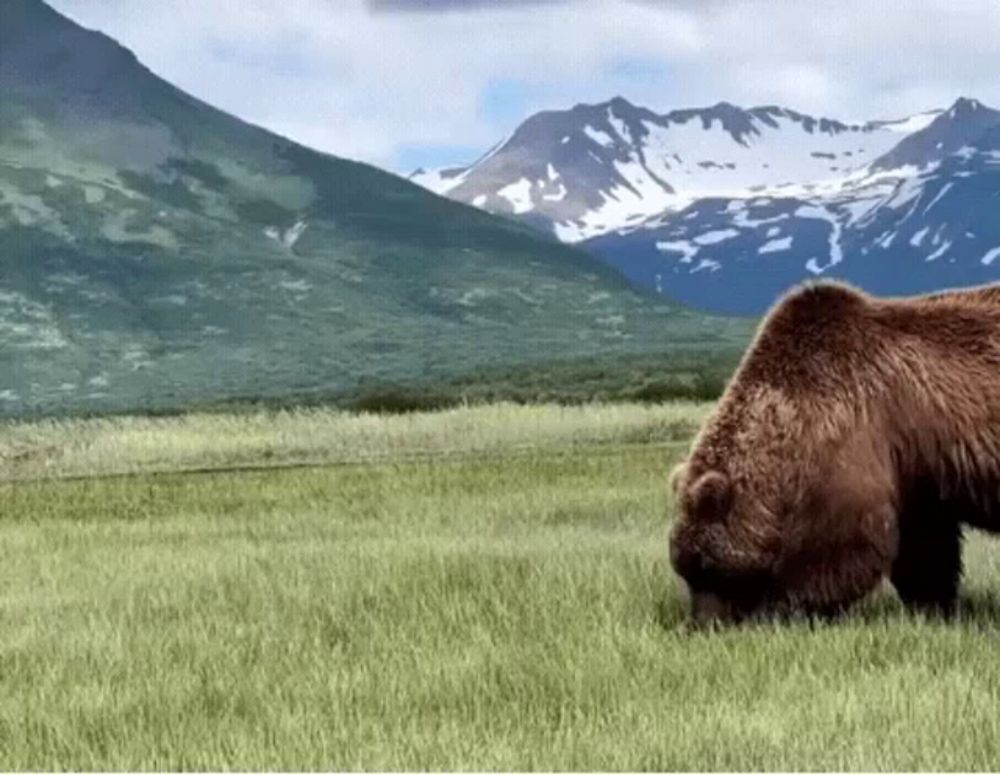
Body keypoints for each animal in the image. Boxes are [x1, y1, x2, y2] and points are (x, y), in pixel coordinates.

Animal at [668, 278, 1000, 624]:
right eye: (683, 567)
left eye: (706, 566)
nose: (702, 622)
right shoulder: (916, 471)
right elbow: (926, 546)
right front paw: (932, 607)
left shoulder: (853, 437)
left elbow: (839, 546)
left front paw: (782, 609)